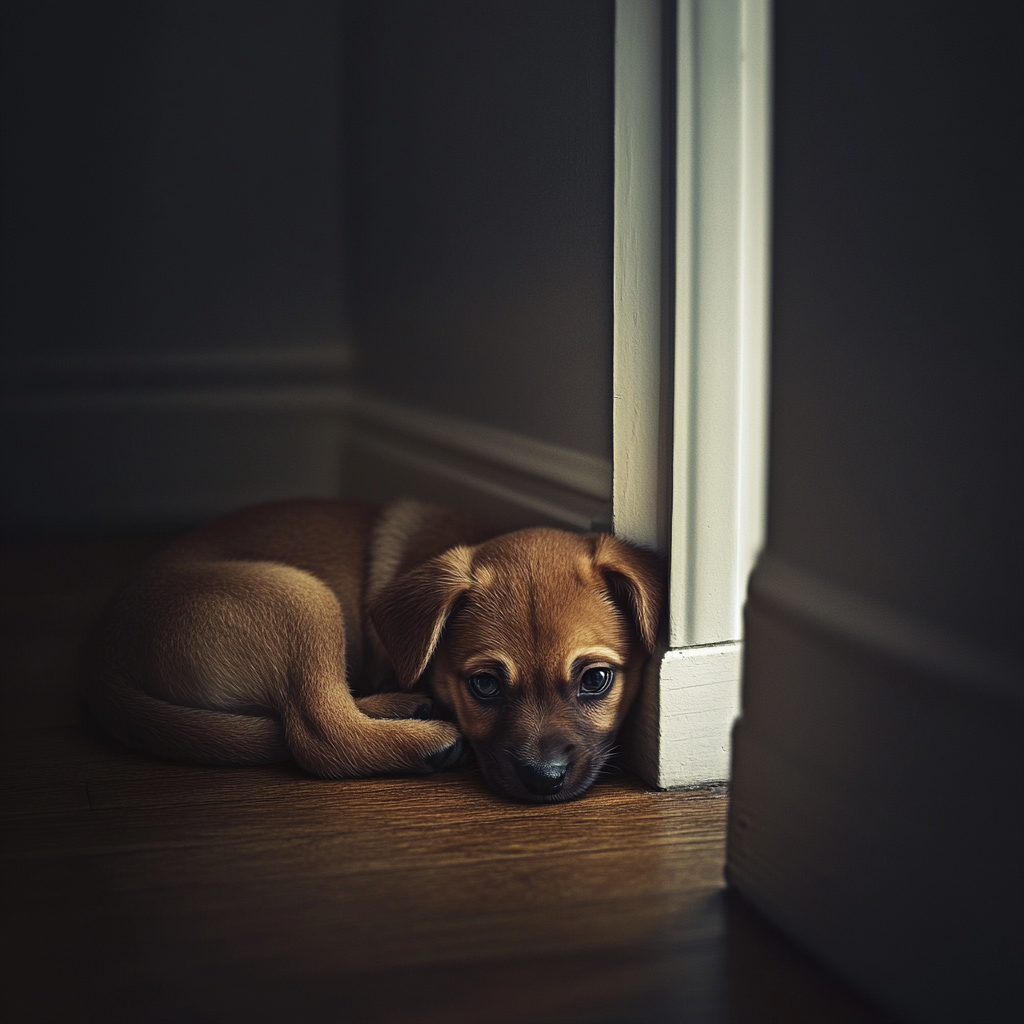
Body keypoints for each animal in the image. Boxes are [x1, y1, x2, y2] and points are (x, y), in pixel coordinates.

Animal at [86, 495, 663, 798]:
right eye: (484, 685)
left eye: (595, 680)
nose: (544, 781)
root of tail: (106, 644)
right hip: (299, 596)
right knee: (318, 729)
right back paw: (423, 738)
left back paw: (401, 705)